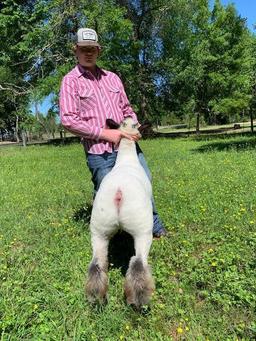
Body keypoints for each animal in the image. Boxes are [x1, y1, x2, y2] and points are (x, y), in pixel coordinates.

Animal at [85, 116, 154, 308]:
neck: (126, 160)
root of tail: (118, 192)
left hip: (99, 229)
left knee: (96, 264)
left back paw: (96, 297)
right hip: (142, 230)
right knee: (138, 263)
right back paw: (138, 301)